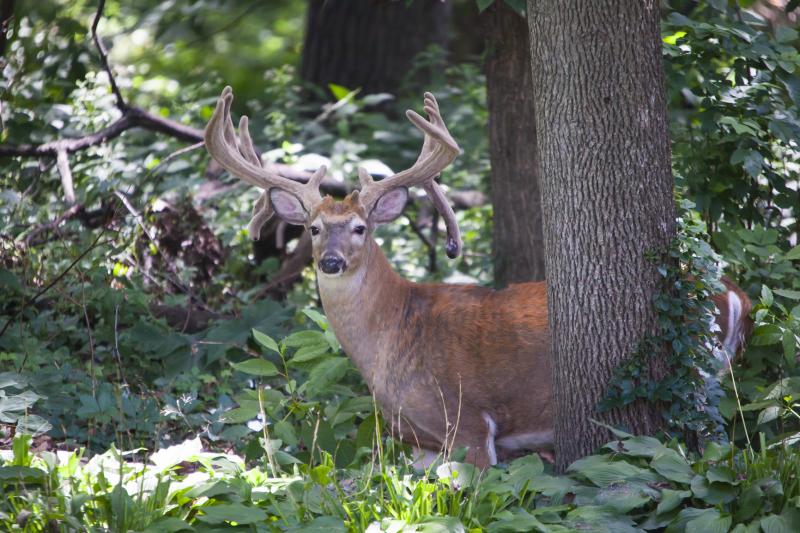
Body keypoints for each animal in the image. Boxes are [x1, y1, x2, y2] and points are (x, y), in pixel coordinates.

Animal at [203, 86, 752, 466]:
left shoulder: (466, 421)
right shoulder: (418, 441)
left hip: (695, 377)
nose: (331, 261)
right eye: (314, 228)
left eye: (360, 227)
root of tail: (732, 293)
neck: (394, 334)